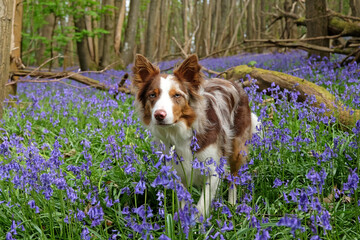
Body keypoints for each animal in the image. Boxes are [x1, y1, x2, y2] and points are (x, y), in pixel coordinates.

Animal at [132, 54, 258, 218]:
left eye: (177, 95)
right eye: (152, 95)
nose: (159, 115)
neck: (179, 133)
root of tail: (232, 82)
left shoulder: (213, 170)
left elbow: (201, 207)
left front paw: (196, 223)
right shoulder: (177, 172)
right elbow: (183, 202)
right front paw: (182, 221)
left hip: (237, 149)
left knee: (234, 178)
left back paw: (232, 205)